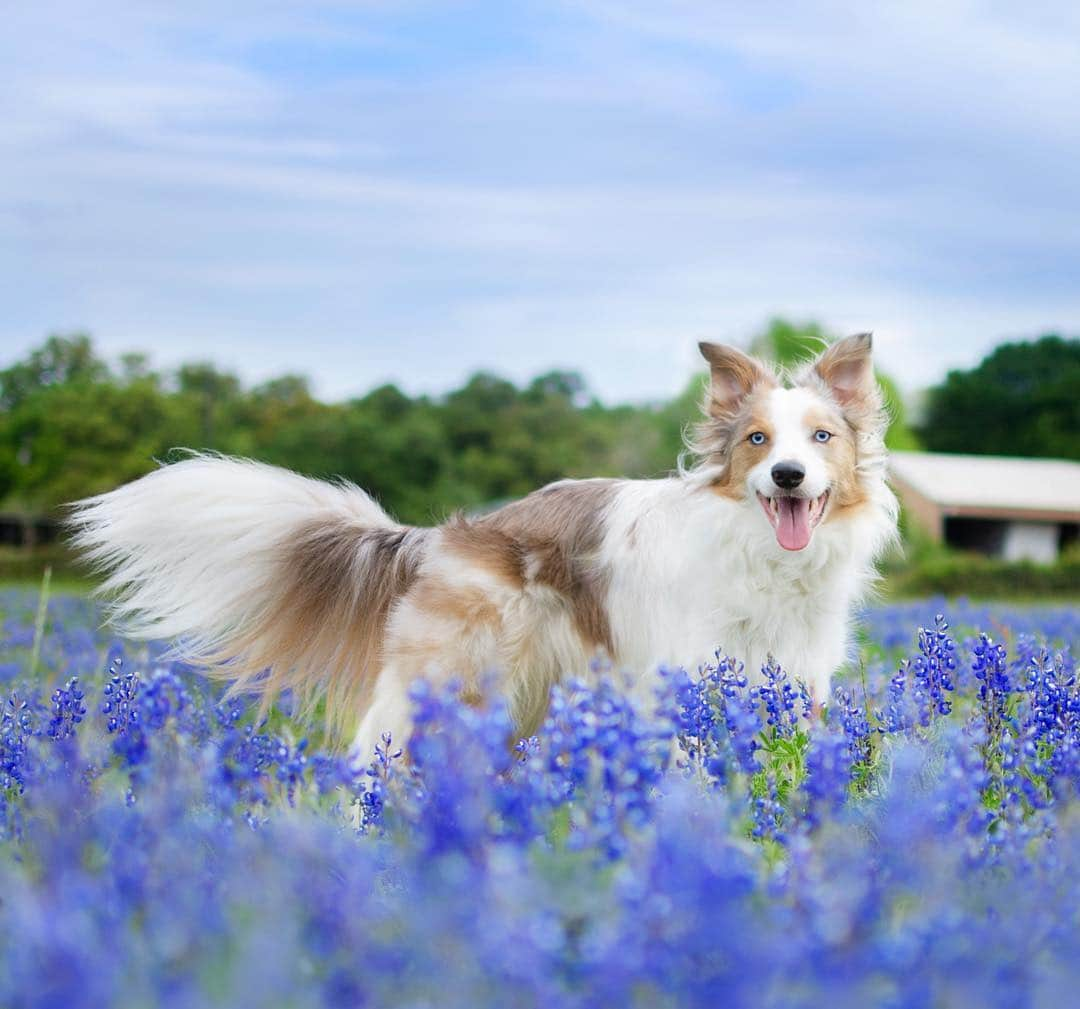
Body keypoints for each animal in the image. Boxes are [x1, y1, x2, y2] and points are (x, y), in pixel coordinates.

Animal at [67, 334, 894, 756]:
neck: (765, 559)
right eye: (757, 440)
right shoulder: (682, 676)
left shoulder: (793, 680)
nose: (788, 476)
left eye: (821, 437)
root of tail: (442, 535)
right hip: (455, 680)